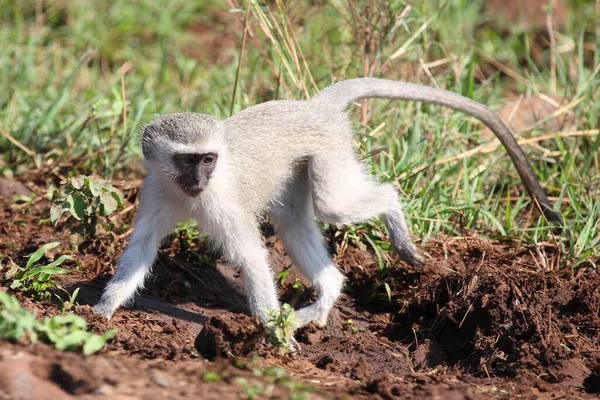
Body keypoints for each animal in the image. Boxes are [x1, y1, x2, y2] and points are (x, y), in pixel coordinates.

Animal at [94, 77, 564, 328]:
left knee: (336, 205)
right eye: (186, 160)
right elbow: (140, 249)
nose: (198, 180)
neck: (188, 191)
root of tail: (314, 107)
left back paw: (393, 219)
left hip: (330, 152)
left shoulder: (222, 201)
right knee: (294, 222)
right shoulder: (156, 187)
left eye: (208, 159)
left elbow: (250, 256)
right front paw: (102, 310)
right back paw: (328, 294)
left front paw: (272, 335)